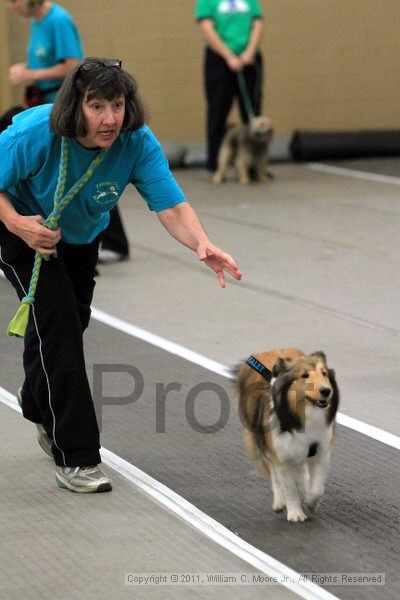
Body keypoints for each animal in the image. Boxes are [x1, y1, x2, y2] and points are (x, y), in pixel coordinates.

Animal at [236, 350, 340, 524]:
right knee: (273, 473)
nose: (326, 391)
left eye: (324, 373)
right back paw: (279, 502)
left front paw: (311, 502)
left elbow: (317, 488)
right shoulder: (281, 456)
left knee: (302, 471)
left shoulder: (321, 452)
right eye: (304, 375)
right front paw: (295, 513)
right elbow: (289, 487)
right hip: (260, 442)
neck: (305, 415)